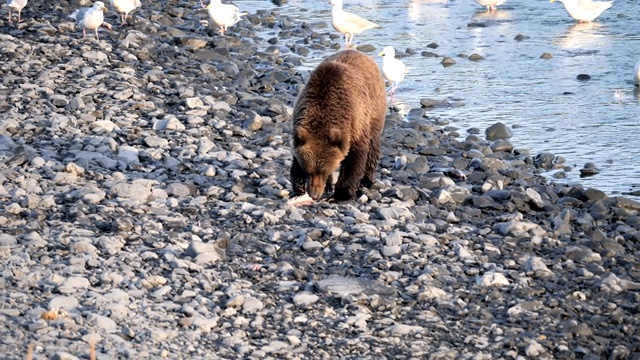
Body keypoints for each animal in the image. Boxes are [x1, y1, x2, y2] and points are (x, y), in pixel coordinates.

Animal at [290, 49, 384, 202]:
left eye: (323, 171)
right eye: (309, 171)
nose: (314, 194)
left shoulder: (355, 124)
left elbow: (354, 159)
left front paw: (342, 193)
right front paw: (299, 186)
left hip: (375, 113)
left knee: (373, 146)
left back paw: (366, 180)